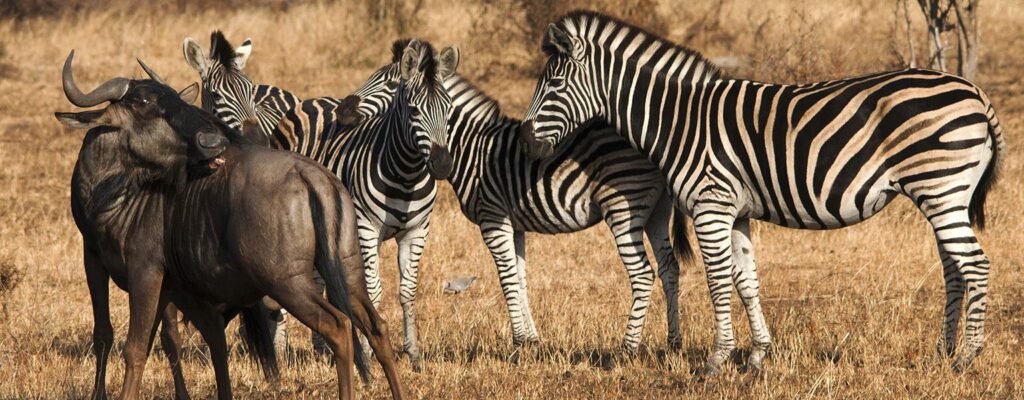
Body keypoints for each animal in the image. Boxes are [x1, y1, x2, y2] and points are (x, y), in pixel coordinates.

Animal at [187, 34, 459, 372]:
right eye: (414, 110)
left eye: (448, 108)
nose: (442, 164)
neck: (405, 172)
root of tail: (317, 100)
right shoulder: (365, 229)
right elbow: (371, 291)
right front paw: (368, 350)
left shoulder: (418, 231)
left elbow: (408, 291)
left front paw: (415, 355)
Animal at [519, 11, 1006, 374]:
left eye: (554, 85)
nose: (527, 143)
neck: (680, 119)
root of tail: (976, 92)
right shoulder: (736, 213)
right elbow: (746, 281)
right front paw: (755, 356)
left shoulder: (710, 206)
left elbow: (717, 281)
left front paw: (716, 361)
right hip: (947, 196)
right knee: (954, 268)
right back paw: (943, 351)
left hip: (940, 188)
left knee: (976, 265)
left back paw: (967, 357)